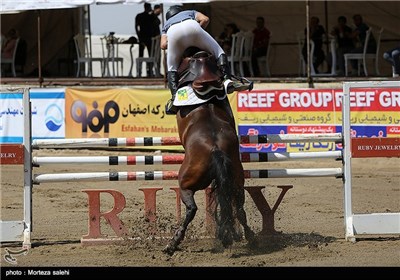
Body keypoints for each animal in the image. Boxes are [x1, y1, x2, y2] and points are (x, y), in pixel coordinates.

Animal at [162, 48, 256, 256]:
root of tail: (216, 150)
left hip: (186, 184)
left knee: (192, 208)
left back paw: (173, 243)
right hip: (236, 181)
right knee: (238, 207)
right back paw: (249, 236)